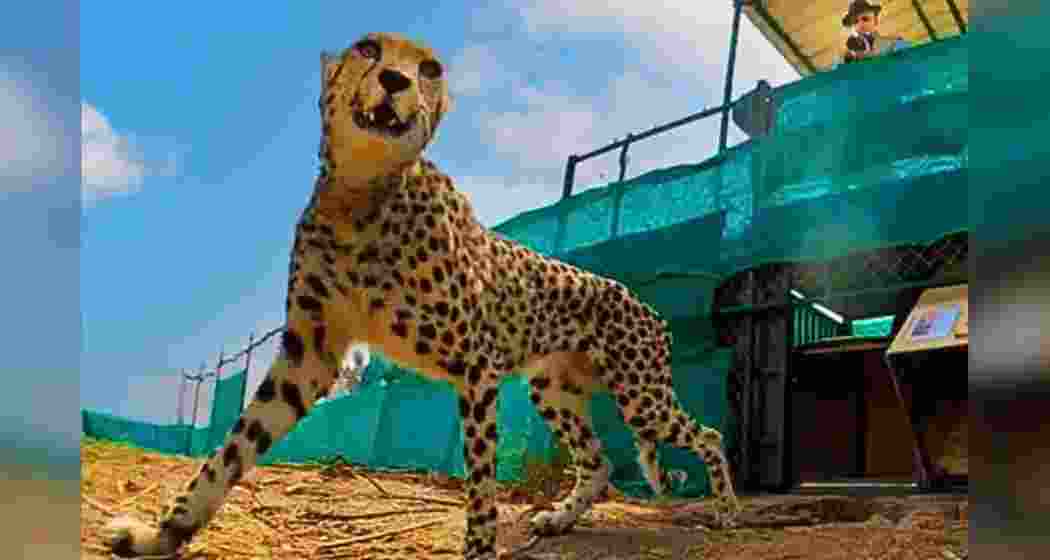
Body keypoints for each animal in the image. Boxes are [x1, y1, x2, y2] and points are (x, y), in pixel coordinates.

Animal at [104, 32, 741, 560]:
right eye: (367, 49)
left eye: (429, 68)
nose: (395, 80)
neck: (362, 197)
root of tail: (642, 301)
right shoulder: (311, 353)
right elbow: (232, 450)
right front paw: (163, 534)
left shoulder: (477, 367)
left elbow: (481, 483)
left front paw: (480, 548)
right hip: (554, 389)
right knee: (600, 459)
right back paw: (562, 519)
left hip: (640, 395)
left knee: (707, 435)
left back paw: (728, 512)